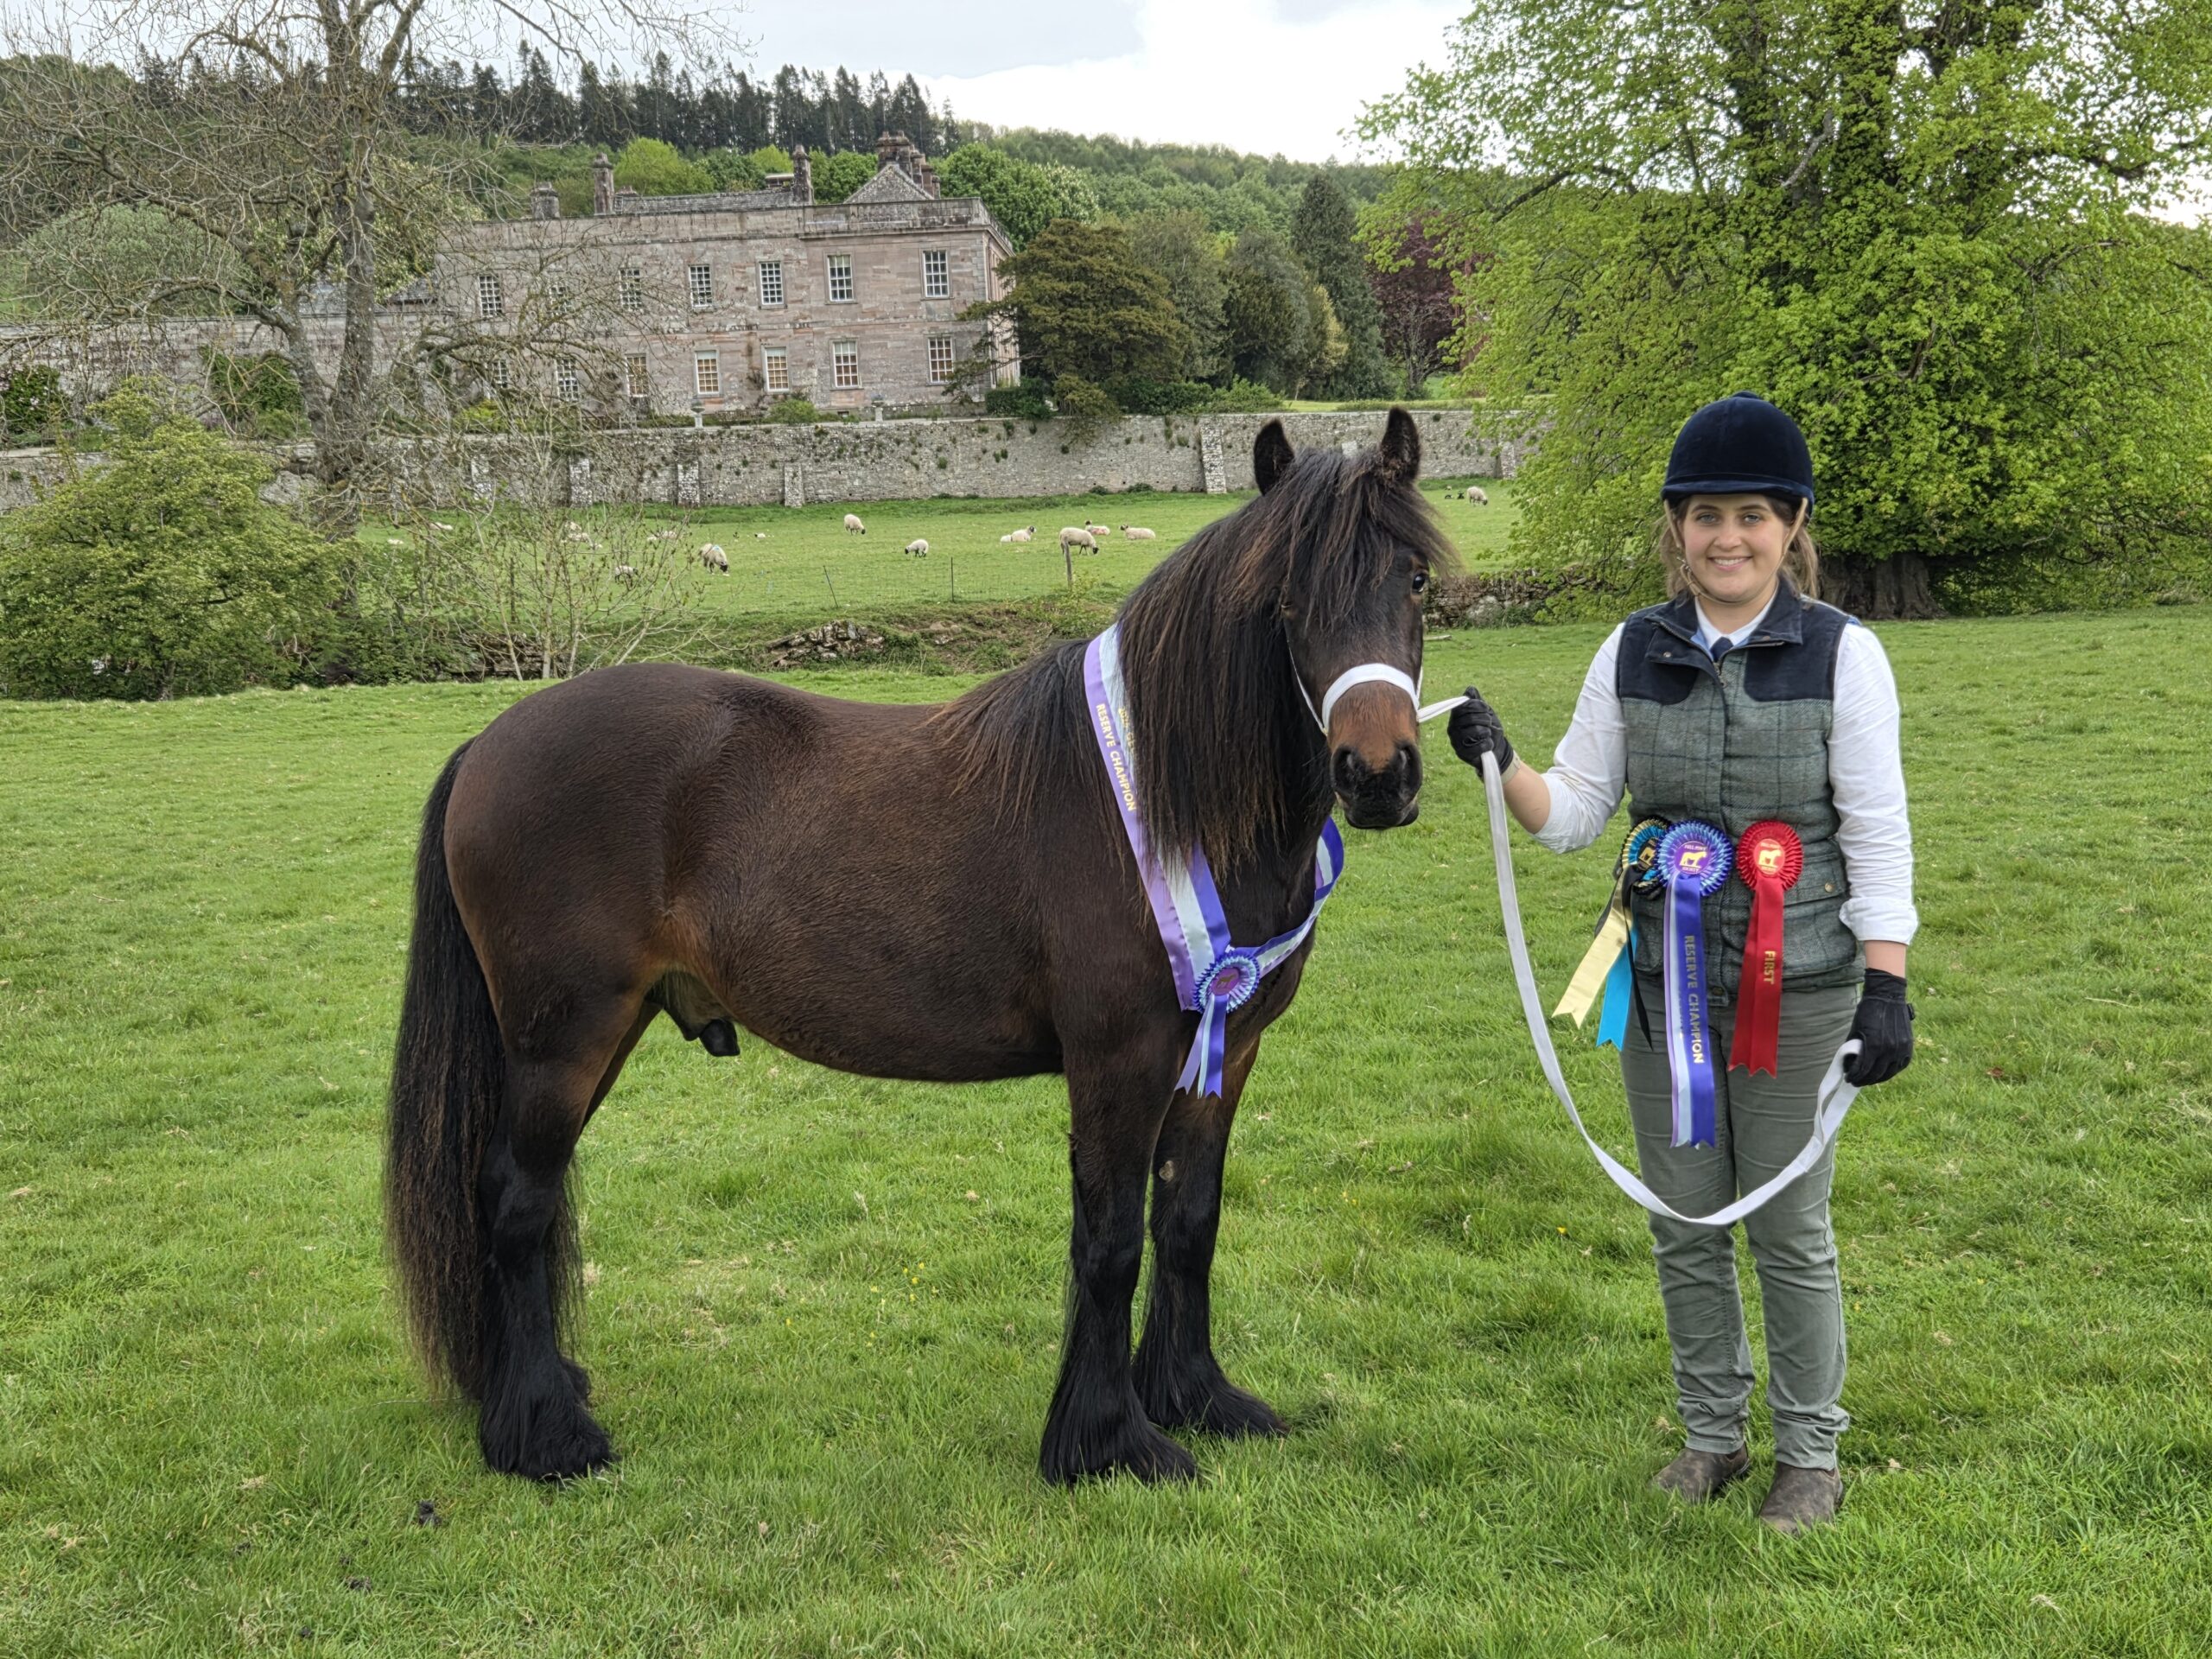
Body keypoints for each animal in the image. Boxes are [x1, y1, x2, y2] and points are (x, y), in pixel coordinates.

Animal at [386, 410, 1455, 1485]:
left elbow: (1188, 1222)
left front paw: (1197, 1398)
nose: (1377, 775)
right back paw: (544, 1433)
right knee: (517, 1201)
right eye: (1286, 596)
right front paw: (1107, 1441)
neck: (1164, 802)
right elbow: (1110, 1240)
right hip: (563, 1038)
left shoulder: (1226, 1053)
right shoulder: (1120, 1059)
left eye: (1414, 579)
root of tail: (488, 744)